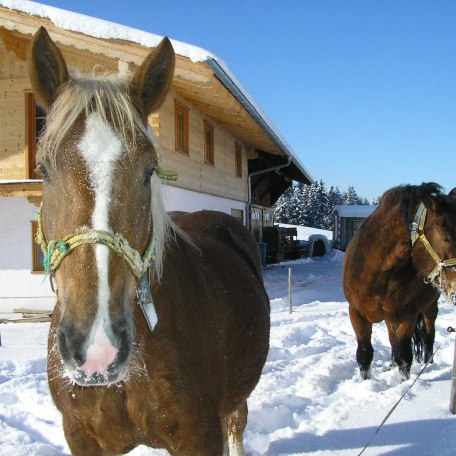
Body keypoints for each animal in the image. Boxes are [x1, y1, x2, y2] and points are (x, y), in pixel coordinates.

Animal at [27, 26, 270, 454]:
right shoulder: (82, 436)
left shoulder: (199, 435)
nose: (97, 346)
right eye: (43, 168)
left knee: (236, 425)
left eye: (148, 170)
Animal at [344, 183, 456, 382]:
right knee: (393, 343)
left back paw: (428, 365)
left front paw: (404, 384)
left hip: (429, 307)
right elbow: (364, 354)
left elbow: (404, 356)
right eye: (445, 237)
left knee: (428, 336)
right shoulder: (356, 313)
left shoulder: (406, 314)